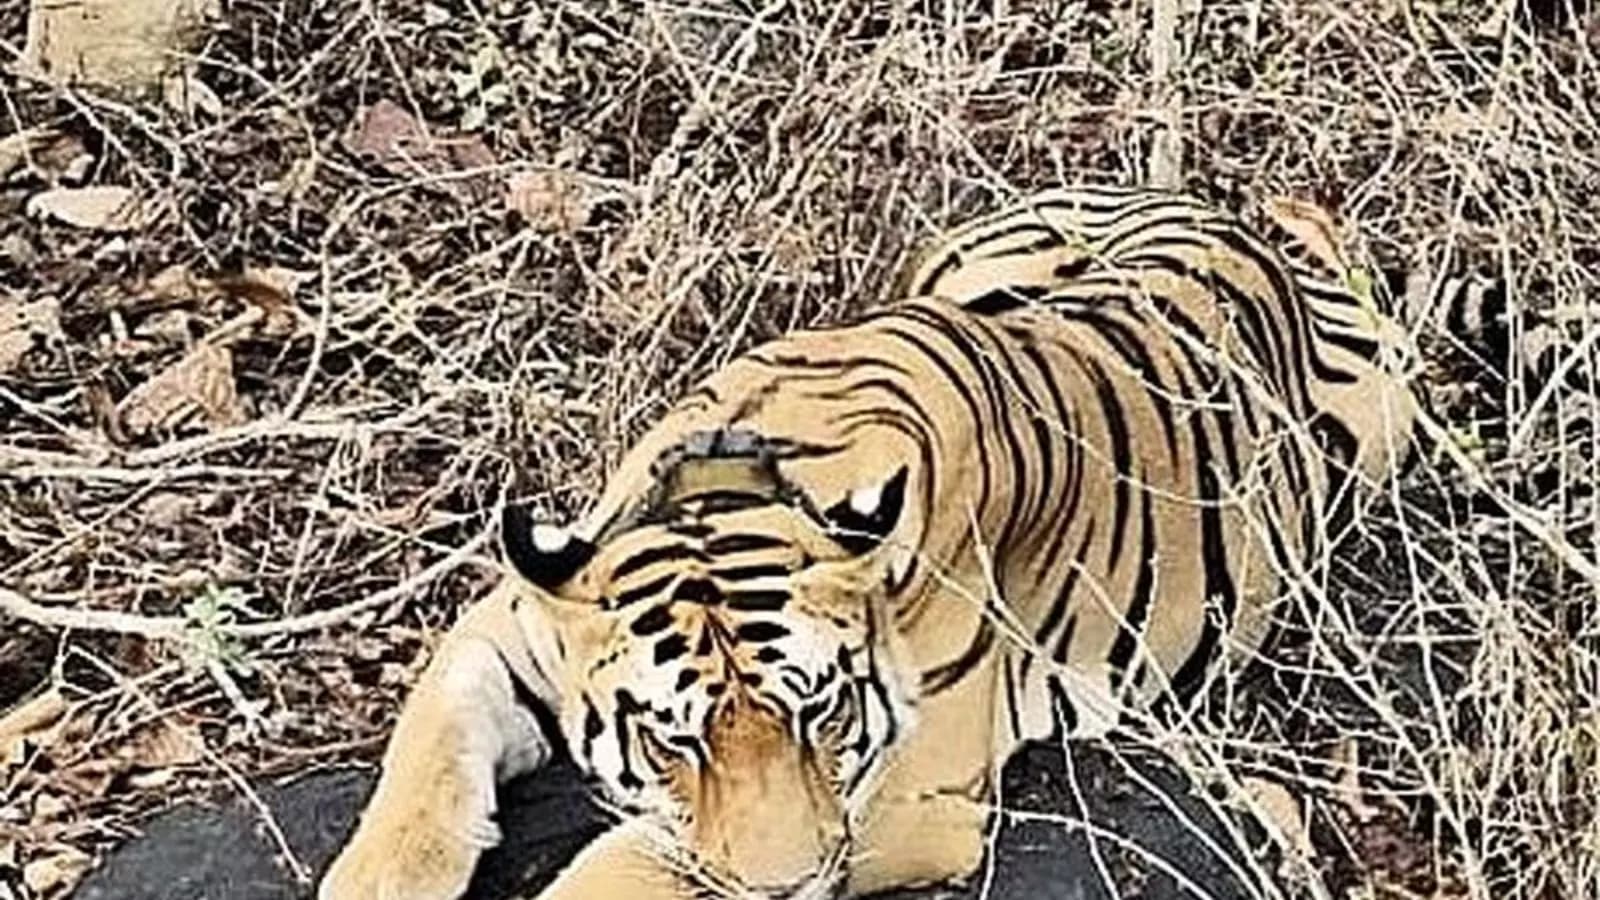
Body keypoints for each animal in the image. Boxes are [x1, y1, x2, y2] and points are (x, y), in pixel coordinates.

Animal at [319, 185, 1457, 900]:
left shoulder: (902, 797)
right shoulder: (510, 626)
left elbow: (627, 871)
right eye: (674, 739)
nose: (783, 890)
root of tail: (1245, 219)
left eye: (820, 713)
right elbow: (422, 768)